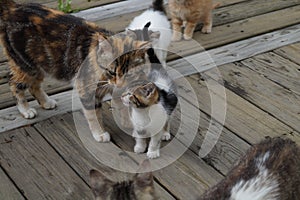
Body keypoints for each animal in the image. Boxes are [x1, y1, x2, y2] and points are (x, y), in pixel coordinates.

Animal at [0, 0, 152, 142]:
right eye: (112, 72)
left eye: (129, 73)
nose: (119, 84)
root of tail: (13, 7)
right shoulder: (86, 90)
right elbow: (93, 115)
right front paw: (100, 133)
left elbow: (122, 106)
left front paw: (129, 124)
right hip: (26, 65)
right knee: (14, 83)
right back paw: (25, 110)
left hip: (42, 65)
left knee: (34, 85)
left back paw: (46, 102)